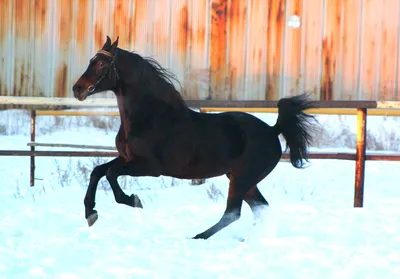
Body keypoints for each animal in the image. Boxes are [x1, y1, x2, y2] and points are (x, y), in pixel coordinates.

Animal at [71, 35, 316, 241]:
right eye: (92, 60)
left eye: (102, 64)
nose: (77, 89)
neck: (150, 117)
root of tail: (273, 130)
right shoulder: (127, 159)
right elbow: (98, 171)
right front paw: (90, 212)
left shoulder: (150, 167)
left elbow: (111, 174)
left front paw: (133, 200)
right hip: (243, 179)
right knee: (259, 208)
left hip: (242, 179)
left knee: (233, 212)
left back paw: (198, 237)